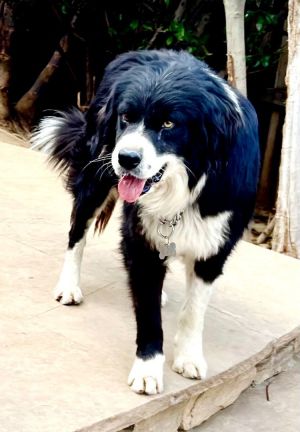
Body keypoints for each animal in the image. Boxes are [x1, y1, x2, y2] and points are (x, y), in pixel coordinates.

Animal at [31, 48, 260, 394]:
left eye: (168, 123)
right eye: (125, 117)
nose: (126, 159)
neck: (187, 184)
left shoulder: (215, 244)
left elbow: (194, 310)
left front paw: (189, 357)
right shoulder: (140, 240)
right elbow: (148, 312)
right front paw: (148, 369)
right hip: (94, 176)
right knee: (76, 235)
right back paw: (69, 286)